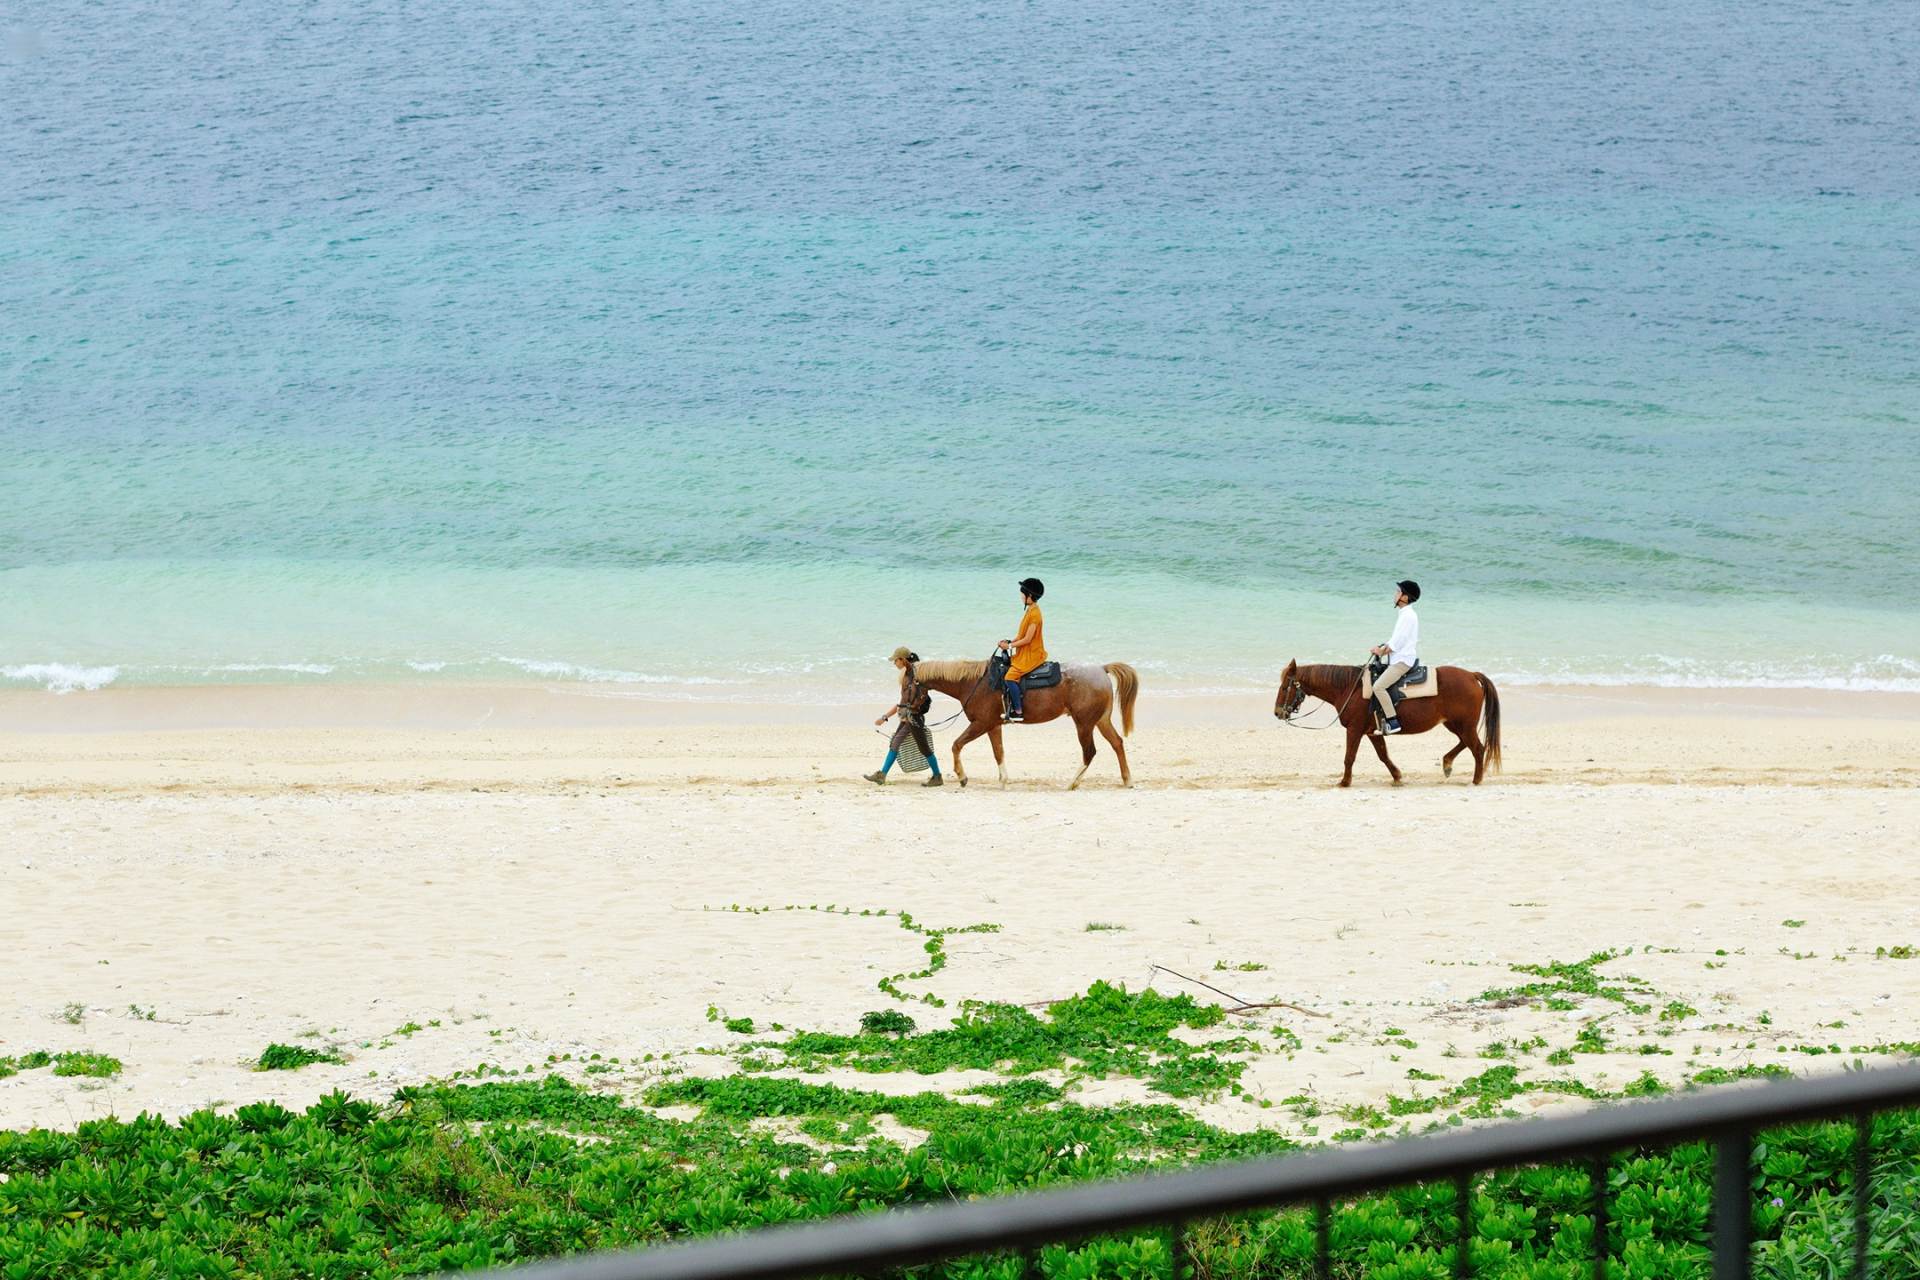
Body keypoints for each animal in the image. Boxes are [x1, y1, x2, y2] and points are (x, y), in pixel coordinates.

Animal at [913, 660, 1136, 790]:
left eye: (908, 685)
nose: (906, 710)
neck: (976, 682)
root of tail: (1101, 669)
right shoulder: (993, 726)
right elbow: (998, 752)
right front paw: (1003, 780)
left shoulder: (981, 723)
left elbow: (957, 744)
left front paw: (962, 777)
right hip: (1101, 721)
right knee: (1117, 743)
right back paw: (1127, 780)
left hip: (1084, 724)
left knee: (1089, 752)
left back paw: (1072, 783)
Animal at [1274, 667, 1497, 786]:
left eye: (1285, 687)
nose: (1277, 713)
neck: (1350, 687)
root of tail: (1471, 675)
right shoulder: (1372, 732)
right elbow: (1383, 754)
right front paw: (1397, 776)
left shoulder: (1354, 730)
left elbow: (1349, 757)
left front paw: (1344, 782)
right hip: (1455, 724)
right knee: (1466, 743)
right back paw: (1447, 763)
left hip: (1464, 725)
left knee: (1477, 748)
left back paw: (1476, 779)